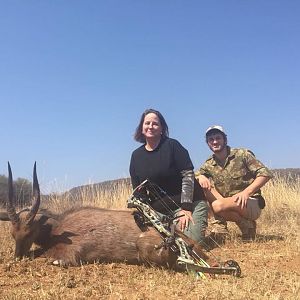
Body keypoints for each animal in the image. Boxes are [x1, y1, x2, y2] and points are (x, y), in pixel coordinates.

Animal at [0, 163, 177, 268]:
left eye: (29, 232)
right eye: (12, 234)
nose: (17, 257)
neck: (58, 227)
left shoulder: (68, 256)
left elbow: (48, 257)